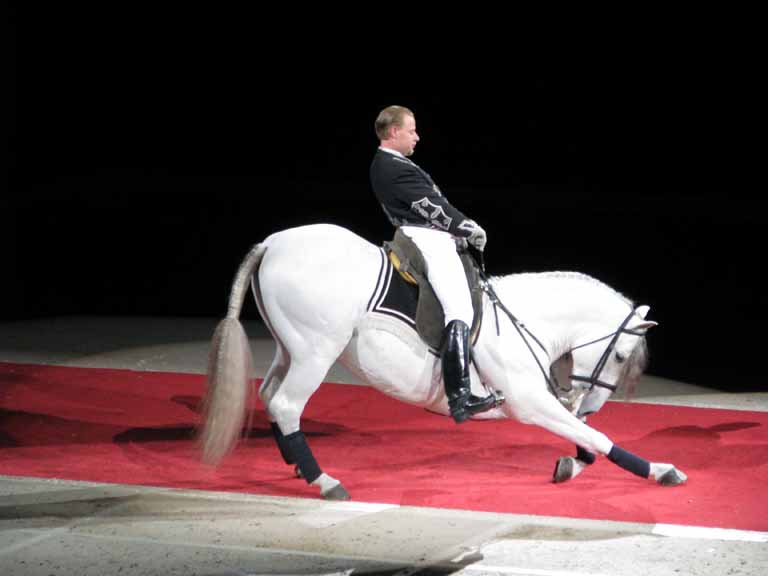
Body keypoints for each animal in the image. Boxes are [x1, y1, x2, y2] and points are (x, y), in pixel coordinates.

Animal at [196, 225, 684, 500]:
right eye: (619, 355)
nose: (592, 403)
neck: (527, 317)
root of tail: (273, 243)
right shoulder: (528, 402)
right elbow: (596, 437)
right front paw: (660, 471)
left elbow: (585, 438)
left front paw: (572, 464)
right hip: (316, 351)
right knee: (286, 404)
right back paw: (325, 481)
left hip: (289, 348)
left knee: (270, 395)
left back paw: (297, 464)